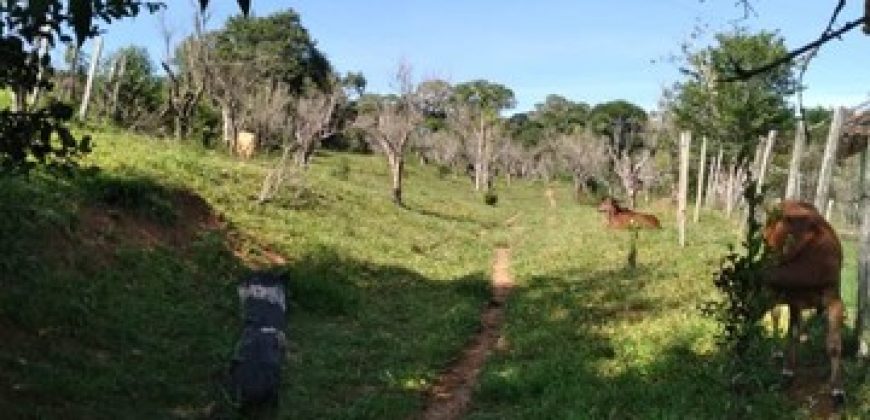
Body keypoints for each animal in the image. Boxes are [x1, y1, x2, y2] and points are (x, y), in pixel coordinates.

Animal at [768, 200, 848, 404]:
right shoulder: (793, 299)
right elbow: (791, 333)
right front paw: (788, 370)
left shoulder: (835, 300)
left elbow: (834, 346)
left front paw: (837, 389)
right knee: (776, 314)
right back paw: (777, 351)